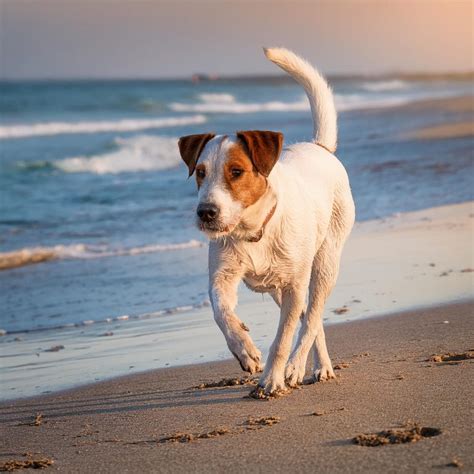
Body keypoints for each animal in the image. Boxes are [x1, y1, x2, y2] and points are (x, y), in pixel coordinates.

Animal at [179, 48, 356, 396]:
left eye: (236, 171)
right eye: (201, 172)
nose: (206, 212)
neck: (254, 232)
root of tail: (319, 146)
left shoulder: (293, 286)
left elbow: (284, 338)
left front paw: (274, 377)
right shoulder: (223, 277)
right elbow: (221, 311)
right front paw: (245, 350)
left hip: (324, 263)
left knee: (311, 319)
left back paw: (301, 367)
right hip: (278, 287)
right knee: (312, 321)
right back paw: (315, 365)